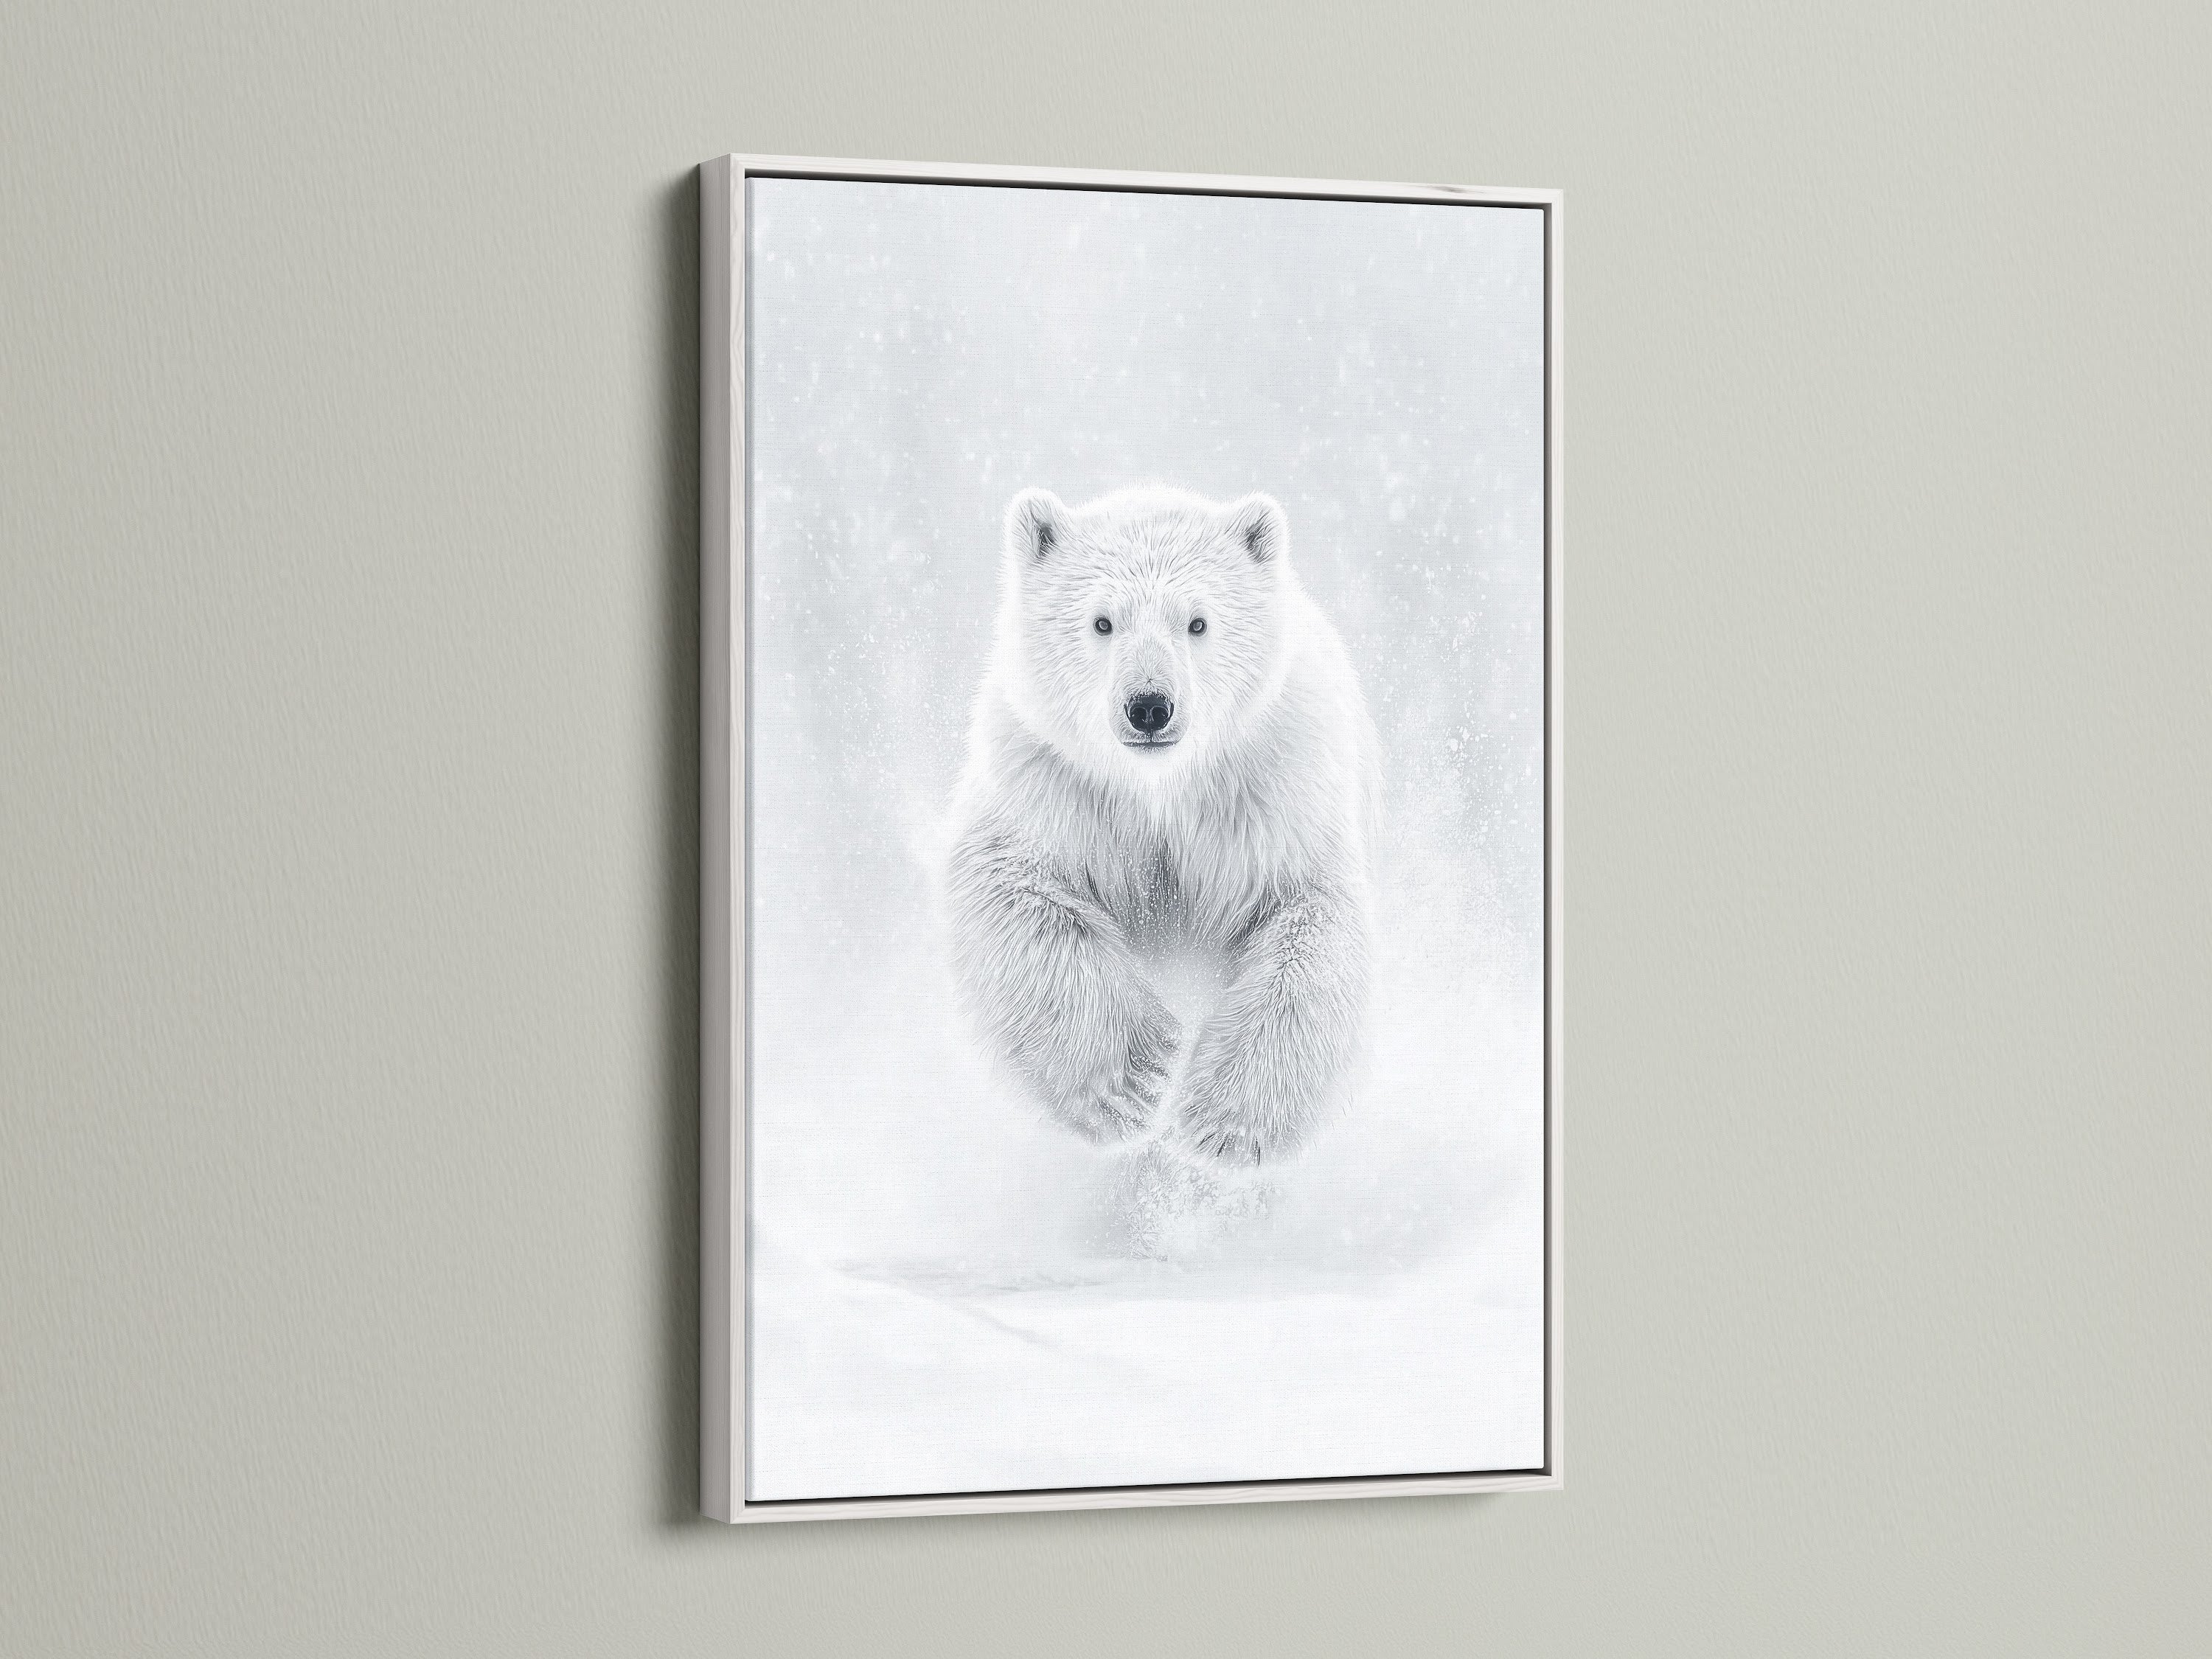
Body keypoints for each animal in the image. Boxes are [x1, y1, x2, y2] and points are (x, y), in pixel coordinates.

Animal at [946, 486, 1378, 1169]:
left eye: (1197, 622)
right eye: (1102, 622)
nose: (1149, 706)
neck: (1160, 789)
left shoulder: (1272, 789)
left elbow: (1309, 922)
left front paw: (1224, 1127)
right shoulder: (1052, 782)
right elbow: (1010, 891)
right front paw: (1134, 1081)